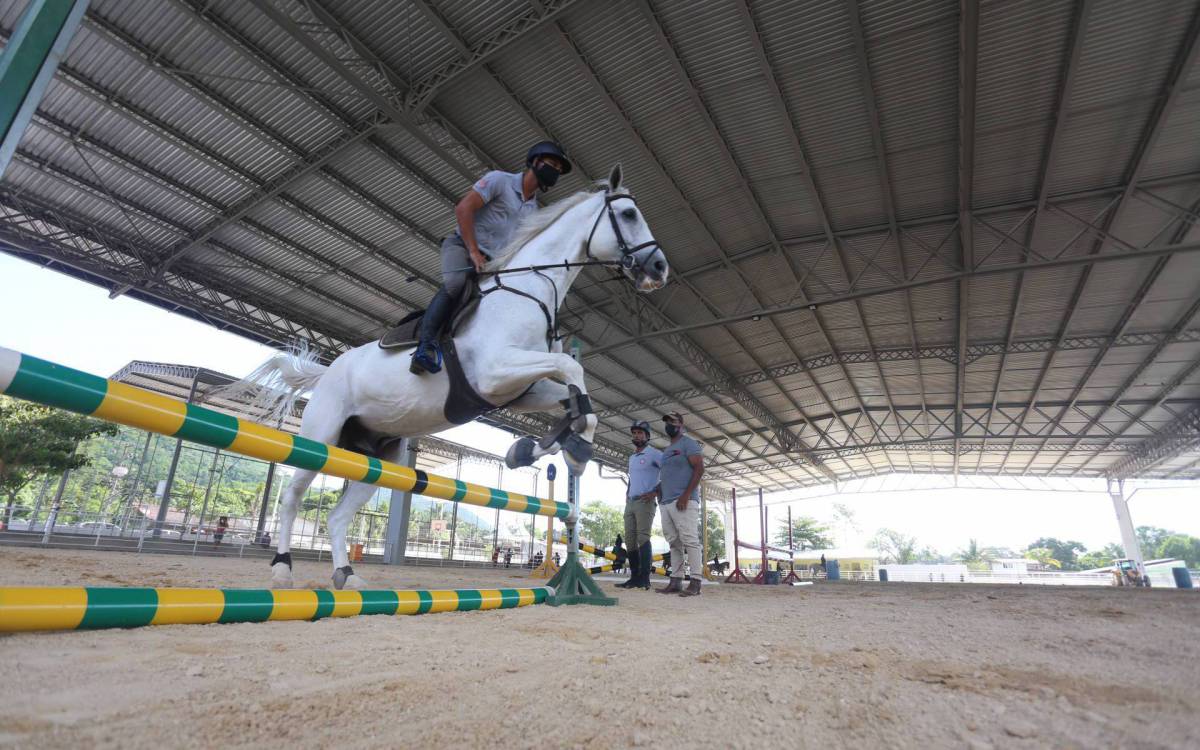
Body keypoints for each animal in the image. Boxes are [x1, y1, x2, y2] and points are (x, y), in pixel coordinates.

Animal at [221, 165, 669, 590]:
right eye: (629, 214)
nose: (659, 268)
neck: (531, 291)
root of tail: (328, 371)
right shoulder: (494, 373)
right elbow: (574, 369)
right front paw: (560, 448)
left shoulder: (521, 390)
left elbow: (577, 402)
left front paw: (545, 449)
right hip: (322, 436)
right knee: (292, 497)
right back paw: (283, 570)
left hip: (379, 457)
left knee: (338, 516)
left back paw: (347, 575)